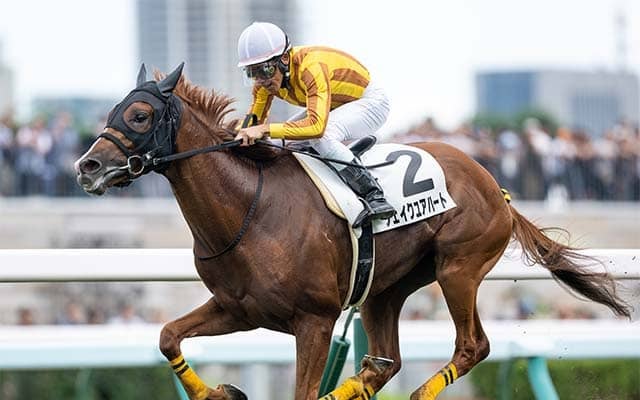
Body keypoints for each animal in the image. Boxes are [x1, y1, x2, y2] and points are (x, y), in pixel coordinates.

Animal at [74, 63, 631, 400]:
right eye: (111, 111)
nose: (86, 166)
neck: (248, 210)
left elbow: (301, 391)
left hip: (459, 269)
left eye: (139, 114)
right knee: (385, 361)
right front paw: (220, 391)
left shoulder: (314, 321)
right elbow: (168, 336)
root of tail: (495, 186)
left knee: (473, 346)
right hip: (384, 290)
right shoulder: (238, 308)